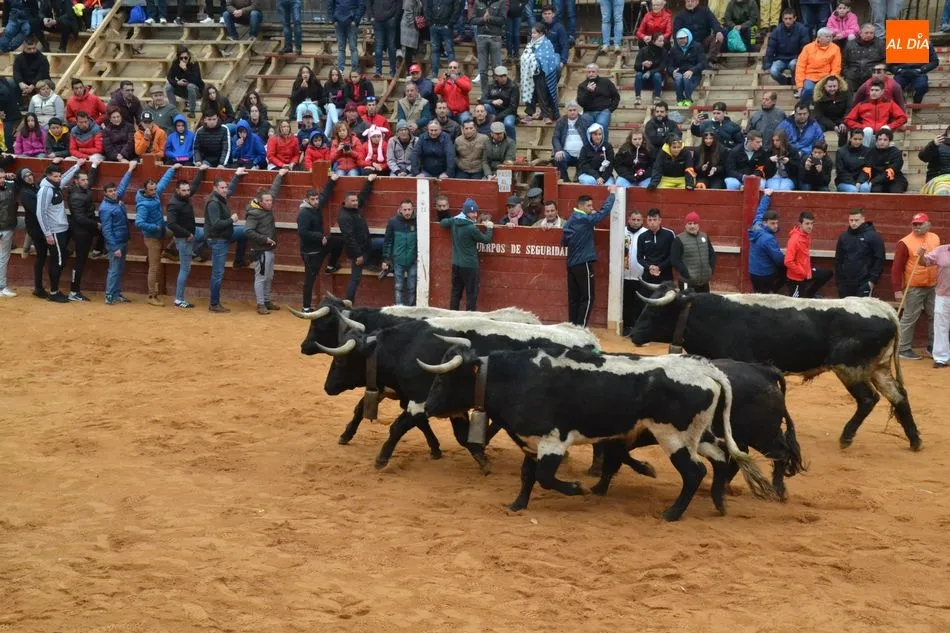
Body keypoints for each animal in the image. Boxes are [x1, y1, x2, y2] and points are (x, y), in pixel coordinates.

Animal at [311, 317, 598, 472]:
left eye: (341, 361)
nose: (327, 387)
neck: (406, 348)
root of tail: (587, 338)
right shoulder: (442, 403)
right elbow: (456, 435)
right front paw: (474, 455)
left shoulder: (420, 400)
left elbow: (399, 427)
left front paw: (381, 459)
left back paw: (594, 470)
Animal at [420, 345, 776, 521]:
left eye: (444, 379)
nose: (427, 407)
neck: (515, 377)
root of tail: (705, 368)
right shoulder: (532, 443)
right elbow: (527, 475)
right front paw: (517, 505)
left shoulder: (553, 441)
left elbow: (546, 477)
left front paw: (578, 488)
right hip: (696, 435)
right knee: (721, 457)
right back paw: (718, 503)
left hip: (673, 437)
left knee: (694, 472)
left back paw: (673, 513)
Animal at [630, 283, 921, 452]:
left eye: (653, 311)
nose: (633, 334)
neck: (702, 313)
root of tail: (884, 308)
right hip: (877, 367)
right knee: (898, 396)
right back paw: (915, 440)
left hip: (850, 367)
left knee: (868, 399)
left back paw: (846, 437)